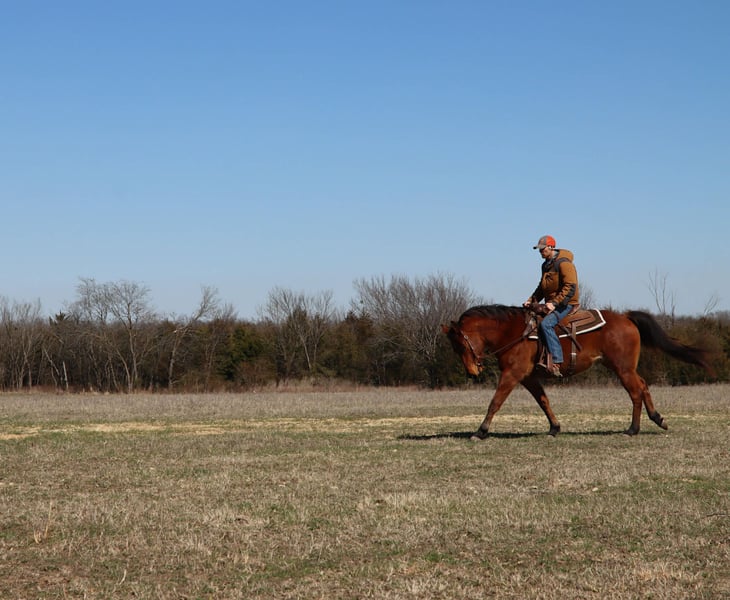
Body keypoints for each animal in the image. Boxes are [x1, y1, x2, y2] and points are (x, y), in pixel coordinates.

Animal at [443, 305, 713, 439]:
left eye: (460, 345)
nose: (472, 372)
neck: (514, 332)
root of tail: (626, 317)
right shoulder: (529, 378)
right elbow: (544, 401)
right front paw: (554, 428)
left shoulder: (512, 374)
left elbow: (495, 402)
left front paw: (481, 431)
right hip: (622, 367)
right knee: (644, 386)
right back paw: (657, 418)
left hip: (622, 369)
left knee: (636, 391)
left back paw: (633, 429)